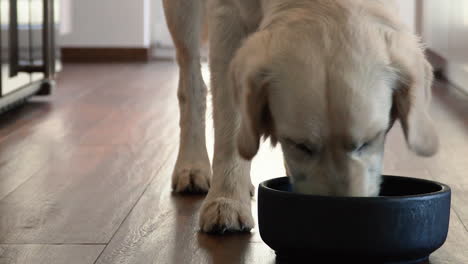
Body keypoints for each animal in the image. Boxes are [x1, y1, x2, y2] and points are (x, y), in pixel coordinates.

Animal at [163, 0, 436, 233]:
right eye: (300, 146)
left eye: (367, 143)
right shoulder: (227, 16)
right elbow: (231, 125)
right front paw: (227, 199)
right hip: (183, 16)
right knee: (192, 83)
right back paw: (192, 165)